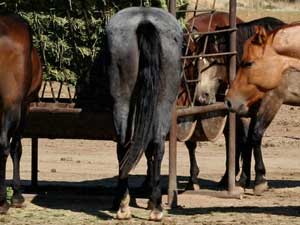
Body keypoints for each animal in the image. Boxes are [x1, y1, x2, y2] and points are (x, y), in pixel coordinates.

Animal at [105, 7, 182, 221]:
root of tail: (144, 21)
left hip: (124, 101)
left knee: (126, 145)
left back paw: (125, 205)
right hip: (163, 103)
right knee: (154, 146)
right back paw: (151, 207)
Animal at [225, 23, 300, 194]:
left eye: (248, 63)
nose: (229, 101)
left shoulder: (272, 100)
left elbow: (256, 135)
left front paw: (260, 180)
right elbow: (248, 139)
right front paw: (244, 180)